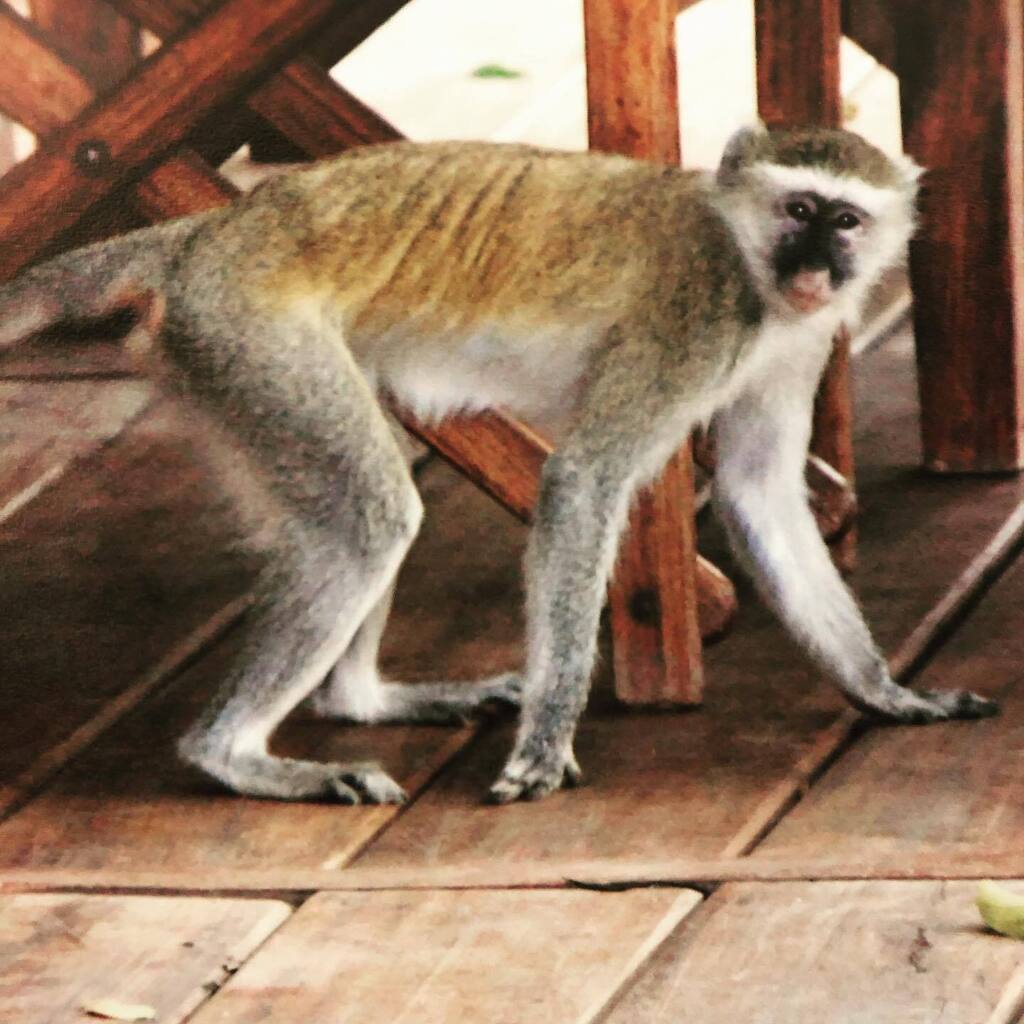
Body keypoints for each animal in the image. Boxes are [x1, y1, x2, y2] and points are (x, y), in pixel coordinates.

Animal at [0, 126, 997, 806]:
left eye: (846, 220)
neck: (750, 268)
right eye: (797, 210)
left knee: (373, 510)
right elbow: (584, 484)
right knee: (371, 518)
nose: (816, 265)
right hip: (250, 337)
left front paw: (883, 691)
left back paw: (362, 701)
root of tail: (201, 239)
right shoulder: (693, 319)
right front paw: (547, 744)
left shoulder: (794, 342)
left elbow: (761, 494)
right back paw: (233, 756)